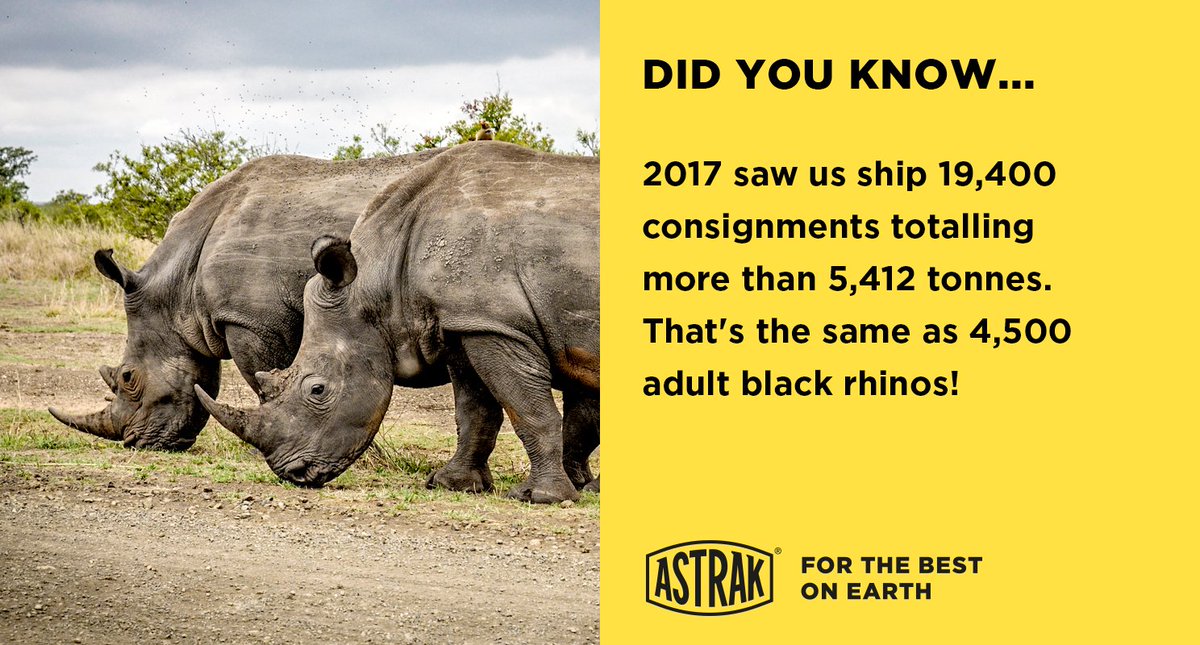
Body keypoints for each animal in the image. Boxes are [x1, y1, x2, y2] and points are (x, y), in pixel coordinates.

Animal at [197, 142, 599, 503]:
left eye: (318, 390)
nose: (293, 473)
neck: (380, 278)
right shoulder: (465, 322)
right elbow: (474, 410)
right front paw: (453, 484)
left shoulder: (496, 323)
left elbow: (529, 409)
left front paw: (541, 497)